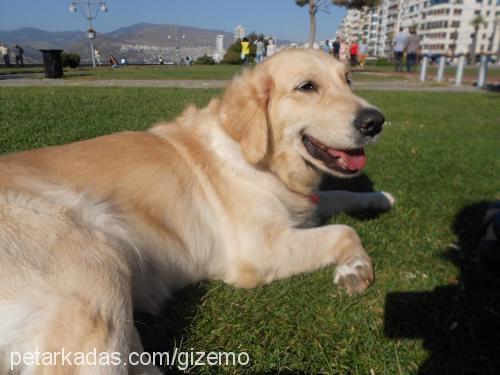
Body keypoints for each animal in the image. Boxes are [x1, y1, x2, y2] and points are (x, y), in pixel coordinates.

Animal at [0, 48, 390, 374]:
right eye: (307, 87)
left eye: (348, 80)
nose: (375, 121)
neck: (258, 158)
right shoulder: (256, 251)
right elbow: (344, 231)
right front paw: (355, 268)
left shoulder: (304, 205)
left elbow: (336, 195)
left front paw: (379, 197)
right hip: (95, 269)